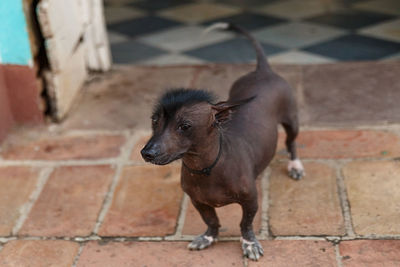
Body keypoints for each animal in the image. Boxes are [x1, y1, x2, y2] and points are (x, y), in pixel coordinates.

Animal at [141, 23, 304, 262]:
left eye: (185, 126)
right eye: (154, 120)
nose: (147, 153)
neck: (206, 168)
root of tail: (262, 70)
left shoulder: (250, 200)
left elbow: (245, 224)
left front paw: (249, 243)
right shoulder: (198, 201)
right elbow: (211, 220)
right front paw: (208, 237)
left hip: (291, 121)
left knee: (292, 143)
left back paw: (295, 166)